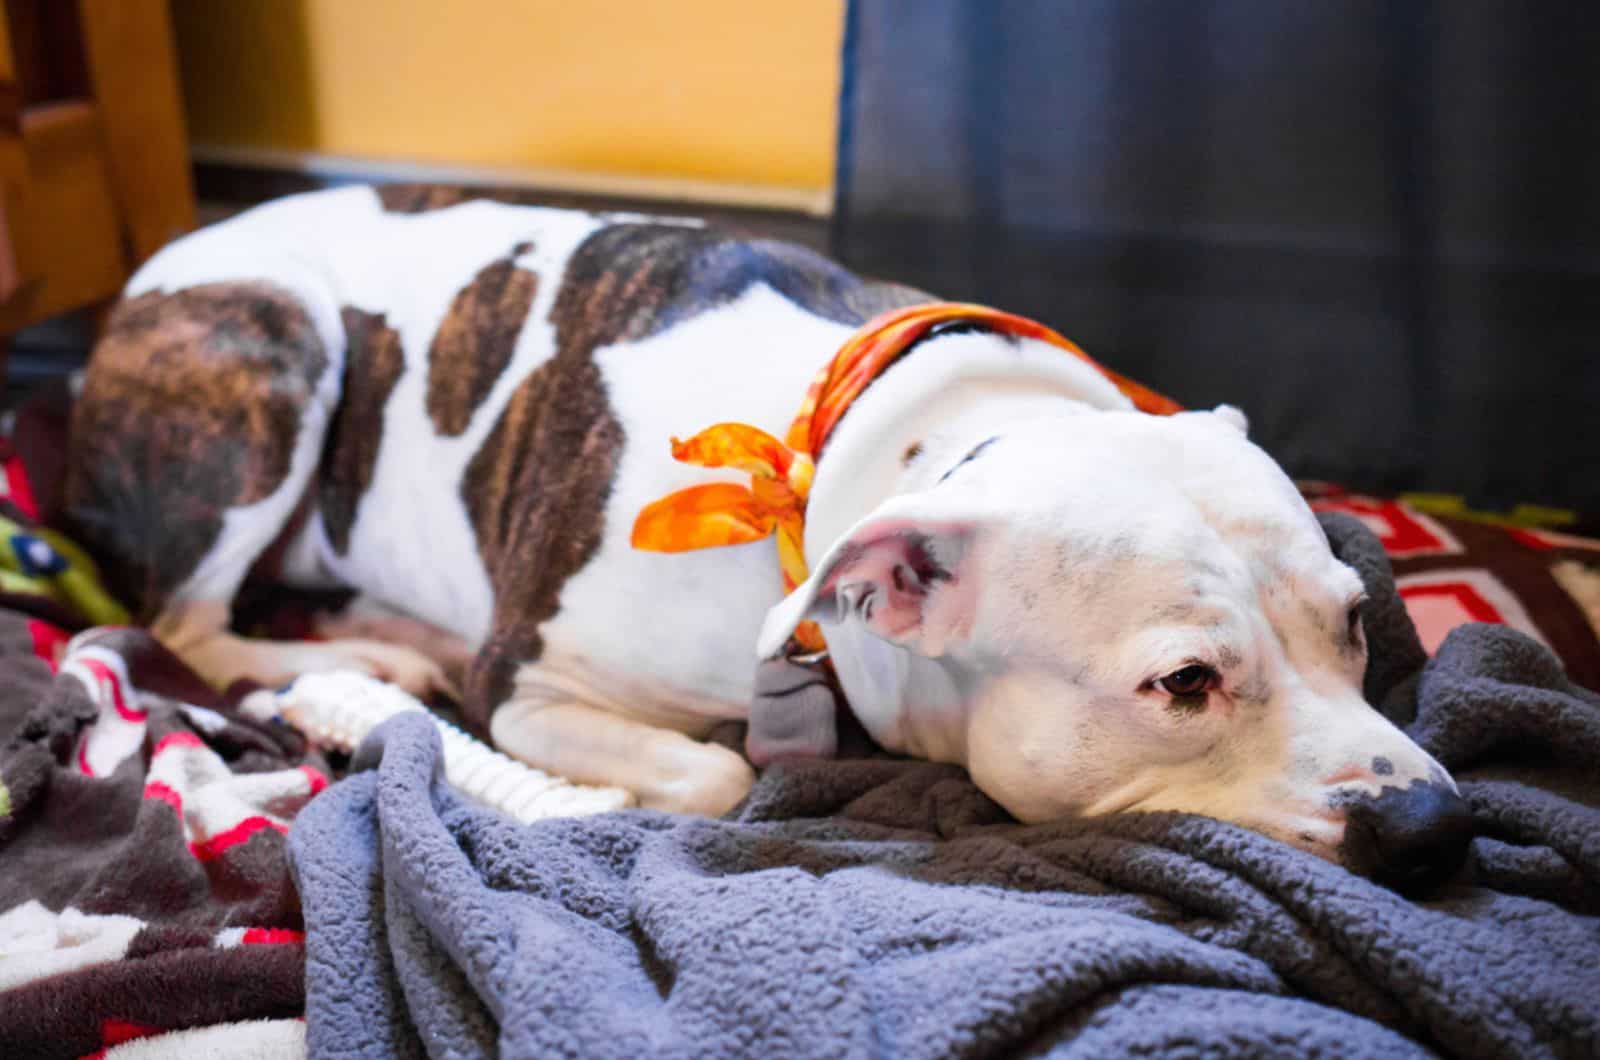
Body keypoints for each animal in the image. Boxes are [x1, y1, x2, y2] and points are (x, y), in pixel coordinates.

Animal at [72, 186, 1472, 890]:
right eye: (1183, 683)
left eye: (1356, 619)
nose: (1429, 828)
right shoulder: (528, 676)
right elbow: (713, 776)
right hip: (277, 341)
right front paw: (591, 797)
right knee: (189, 621)